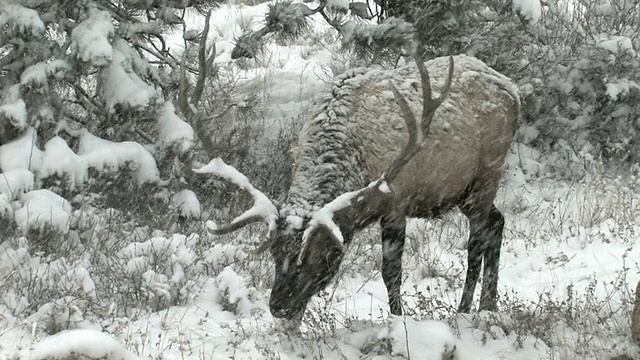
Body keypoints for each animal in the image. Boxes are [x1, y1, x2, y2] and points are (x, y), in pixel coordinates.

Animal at [194, 54, 520, 320]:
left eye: (316, 257)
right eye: (274, 254)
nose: (278, 307)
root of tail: (514, 91)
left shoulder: (396, 202)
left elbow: (391, 272)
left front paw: (399, 320)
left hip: (488, 172)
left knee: (476, 241)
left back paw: (465, 310)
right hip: (461, 190)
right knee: (497, 222)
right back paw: (489, 306)